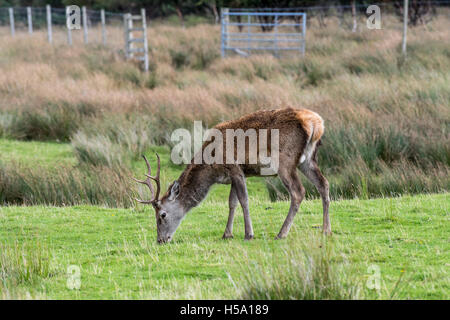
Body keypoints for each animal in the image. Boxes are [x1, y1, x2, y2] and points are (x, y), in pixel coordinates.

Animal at [134, 107, 330, 242]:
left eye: (162, 215)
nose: (160, 240)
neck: (213, 168)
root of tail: (316, 123)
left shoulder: (236, 168)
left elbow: (243, 200)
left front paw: (248, 234)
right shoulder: (233, 176)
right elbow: (232, 202)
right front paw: (227, 233)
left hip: (284, 160)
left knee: (298, 192)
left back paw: (281, 233)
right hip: (308, 159)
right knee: (324, 184)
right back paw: (326, 229)